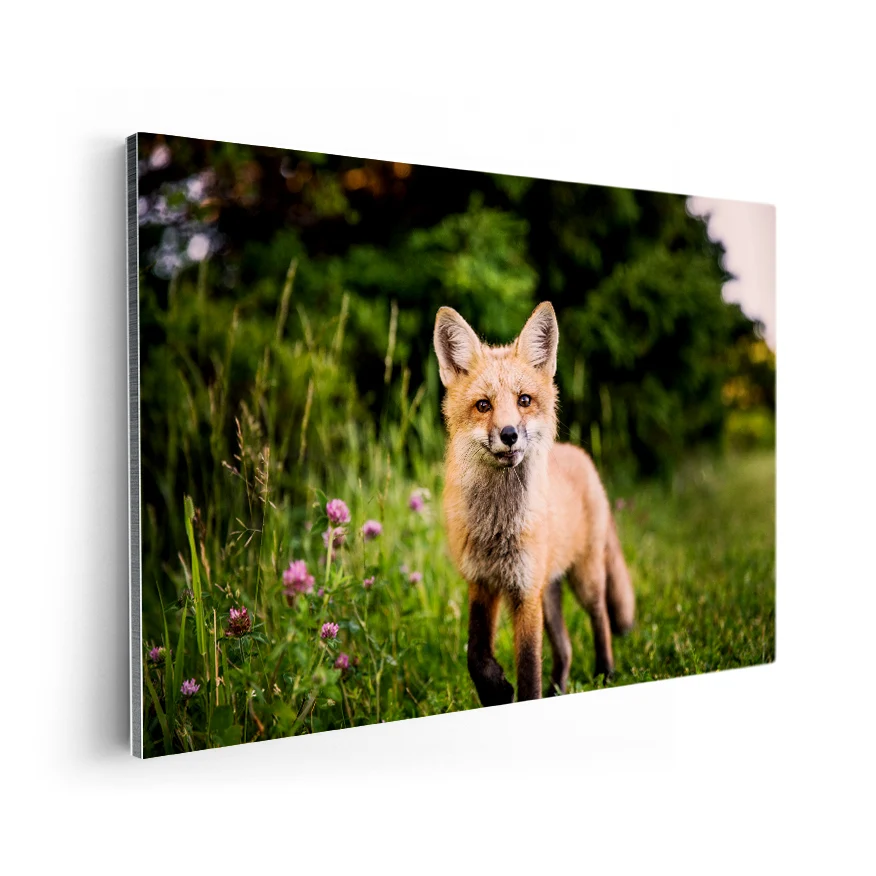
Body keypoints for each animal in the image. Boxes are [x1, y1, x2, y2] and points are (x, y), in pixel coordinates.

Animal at [433, 301, 635, 705]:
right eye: (483, 406)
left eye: (524, 400)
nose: (509, 434)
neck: (498, 527)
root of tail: (578, 454)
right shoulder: (482, 582)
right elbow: (475, 654)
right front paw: (495, 689)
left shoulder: (525, 591)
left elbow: (528, 670)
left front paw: (513, 690)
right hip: (550, 592)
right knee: (566, 648)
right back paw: (559, 688)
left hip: (584, 579)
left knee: (601, 619)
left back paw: (606, 671)